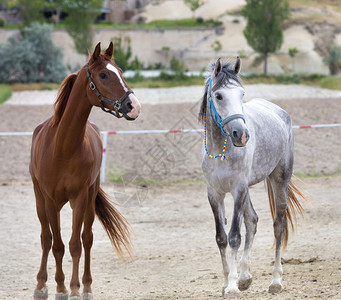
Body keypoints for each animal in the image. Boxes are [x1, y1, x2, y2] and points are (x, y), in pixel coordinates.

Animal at [29, 42, 141, 300]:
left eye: (120, 71)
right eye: (104, 75)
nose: (133, 106)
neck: (63, 147)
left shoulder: (80, 198)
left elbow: (75, 244)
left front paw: (74, 289)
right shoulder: (50, 201)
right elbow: (57, 245)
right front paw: (60, 288)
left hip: (89, 198)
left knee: (86, 239)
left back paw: (87, 286)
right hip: (40, 200)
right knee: (46, 238)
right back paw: (41, 285)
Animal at [199, 57, 306, 296]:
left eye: (241, 94)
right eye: (218, 96)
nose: (241, 135)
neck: (222, 150)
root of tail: (279, 111)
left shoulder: (238, 189)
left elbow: (234, 236)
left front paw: (231, 287)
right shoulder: (214, 193)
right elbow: (221, 238)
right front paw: (227, 282)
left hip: (279, 180)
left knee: (278, 226)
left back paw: (275, 282)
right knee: (252, 220)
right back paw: (245, 277)